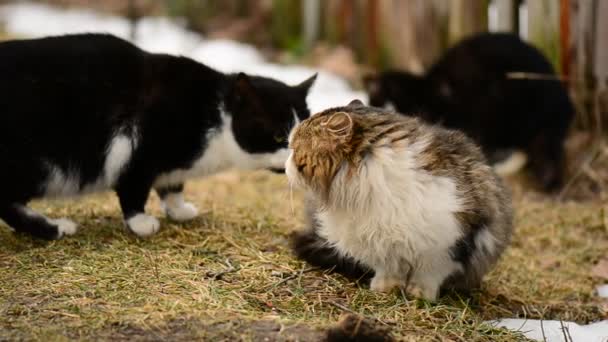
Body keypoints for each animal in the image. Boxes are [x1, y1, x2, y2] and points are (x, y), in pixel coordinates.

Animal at [0, 33, 316, 239]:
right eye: (278, 136)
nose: (298, 157)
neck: (212, 116)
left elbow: (172, 184)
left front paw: (178, 208)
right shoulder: (137, 144)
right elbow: (133, 185)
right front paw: (140, 223)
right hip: (38, 161)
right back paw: (55, 228)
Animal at [286, 100, 512, 300]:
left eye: (294, 149)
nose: (286, 166)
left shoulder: (450, 244)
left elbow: (428, 275)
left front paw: (420, 295)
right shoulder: (381, 243)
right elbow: (389, 269)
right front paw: (385, 289)